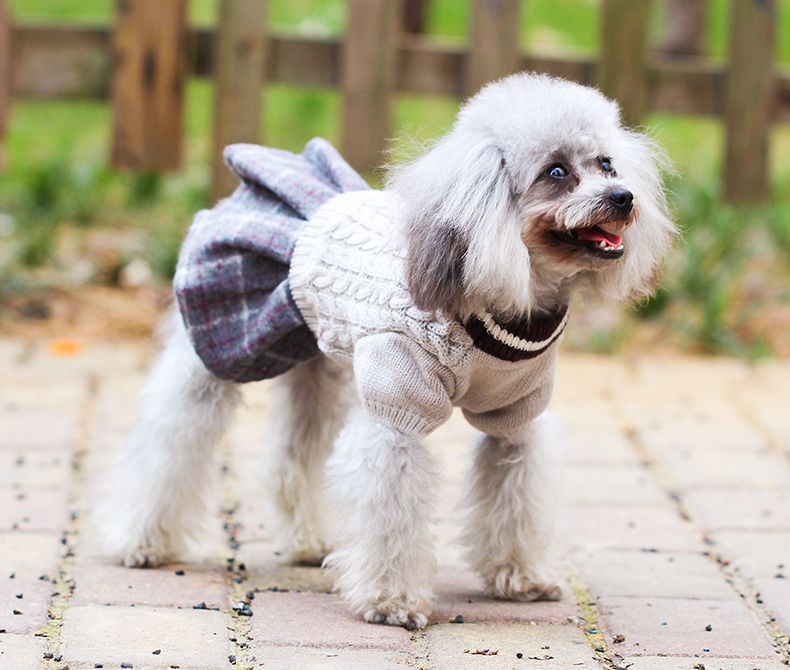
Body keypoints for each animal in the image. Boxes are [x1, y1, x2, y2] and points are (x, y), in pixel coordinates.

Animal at [99, 73, 676, 632]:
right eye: (556, 172)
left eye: (606, 163)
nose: (623, 197)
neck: (509, 295)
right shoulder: (398, 409)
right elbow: (392, 508)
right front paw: (391, 601)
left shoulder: (516, 418)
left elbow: (516, 496)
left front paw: (521, 576)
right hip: (219, 353)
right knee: (169, 442)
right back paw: (141, 540)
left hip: (314, 366)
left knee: (293, 458)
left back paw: (308, 542)